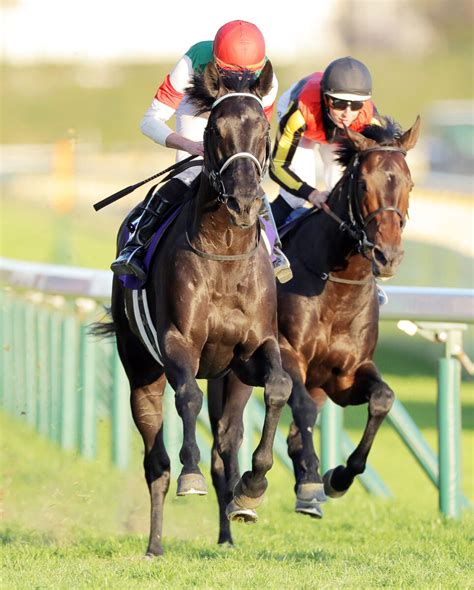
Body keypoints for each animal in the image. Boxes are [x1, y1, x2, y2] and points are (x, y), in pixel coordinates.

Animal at [102, 62, 290, 556]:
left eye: (264, 128)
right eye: (214, 130)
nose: (244, 202)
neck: (225, 252)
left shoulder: (255, 348)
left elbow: (279, 386)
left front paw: (254, 486)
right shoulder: (176, 344)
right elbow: (187, 398)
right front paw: (191, 475)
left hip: (229, 378)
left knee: (226, 446)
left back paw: (228, 531)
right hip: (139, 368)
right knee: (155, 459)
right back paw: (154, 545)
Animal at [209, 114, 420, 540]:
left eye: (409, 184)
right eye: (363, 183)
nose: (387, 256)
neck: (336, 286)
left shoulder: (347, 375)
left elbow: (383, 398)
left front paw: (337, 477)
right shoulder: (289, 355)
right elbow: (301, 407)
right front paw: (302, 481)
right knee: (230, 430)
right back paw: (242, 496)